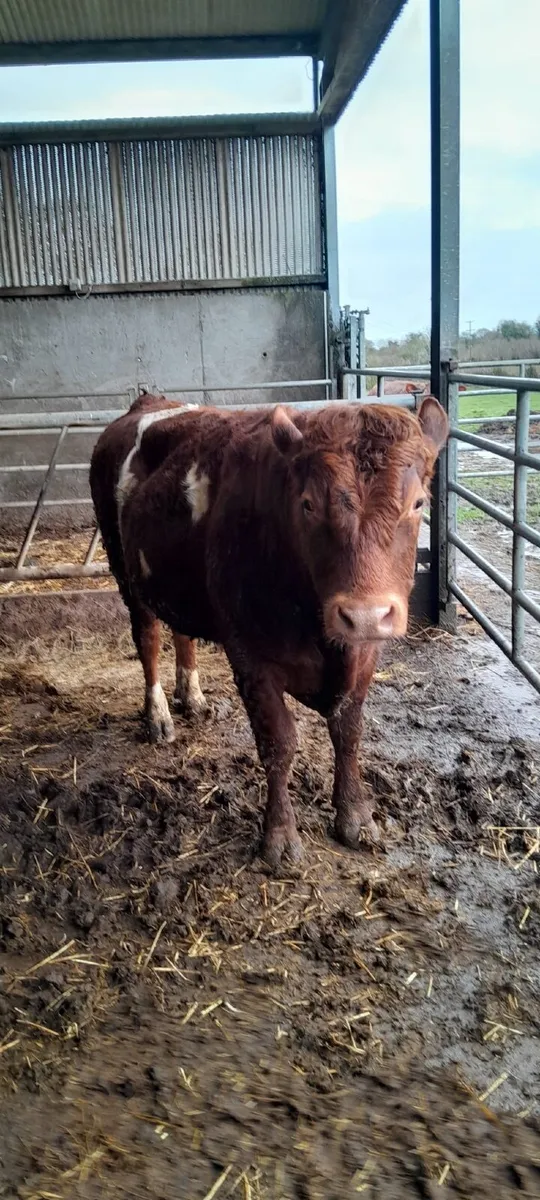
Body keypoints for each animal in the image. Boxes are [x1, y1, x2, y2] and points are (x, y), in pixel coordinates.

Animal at [90, 391, 448, 867]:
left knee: (182, 633)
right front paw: (279, 836)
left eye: (419, 503)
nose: (365, 615)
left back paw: (193, 697)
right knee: (147, 639)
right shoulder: (250, 656)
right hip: (126, 570)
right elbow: (278, 743)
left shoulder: (366, 654)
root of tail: (148, 401)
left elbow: (349, 732)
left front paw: (355, 816)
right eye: (309, 504)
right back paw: (158, 716)